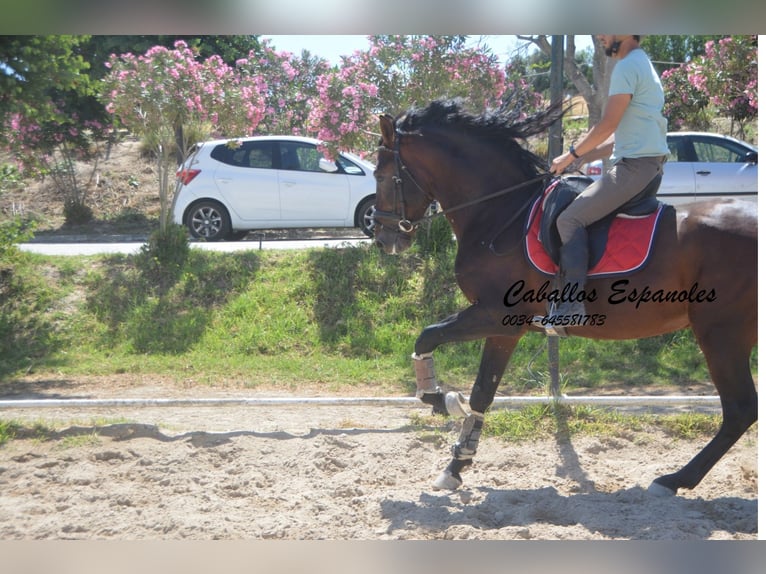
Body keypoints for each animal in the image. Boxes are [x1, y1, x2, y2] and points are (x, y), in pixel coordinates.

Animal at [376, 98, 760, 496]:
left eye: (380, 176)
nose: (380, 236)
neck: (499, 212)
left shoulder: (494, 315)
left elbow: (428, 337)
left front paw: (441, 400)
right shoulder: (504, 329)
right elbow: (482, 391)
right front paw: (456, 463)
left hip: (721, 333)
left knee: (740, 409)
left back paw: (674, 480)